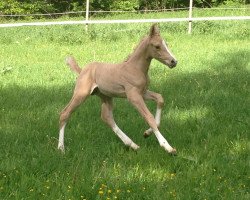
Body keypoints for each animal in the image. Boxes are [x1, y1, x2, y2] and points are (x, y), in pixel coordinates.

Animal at [57, 23, 177, 155]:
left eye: (167, 44)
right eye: (157, 46)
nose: (174, 61)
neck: (135, 68)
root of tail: (82, 70)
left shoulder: (143, 92)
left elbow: (160, 99)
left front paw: (147, 133)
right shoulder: (133, 96)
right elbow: (148, 117)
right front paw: (168, 147)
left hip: (105, 96)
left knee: (106, 117)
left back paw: (132, 145)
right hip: (81, 93)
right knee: (65, 113)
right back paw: (61, 148)